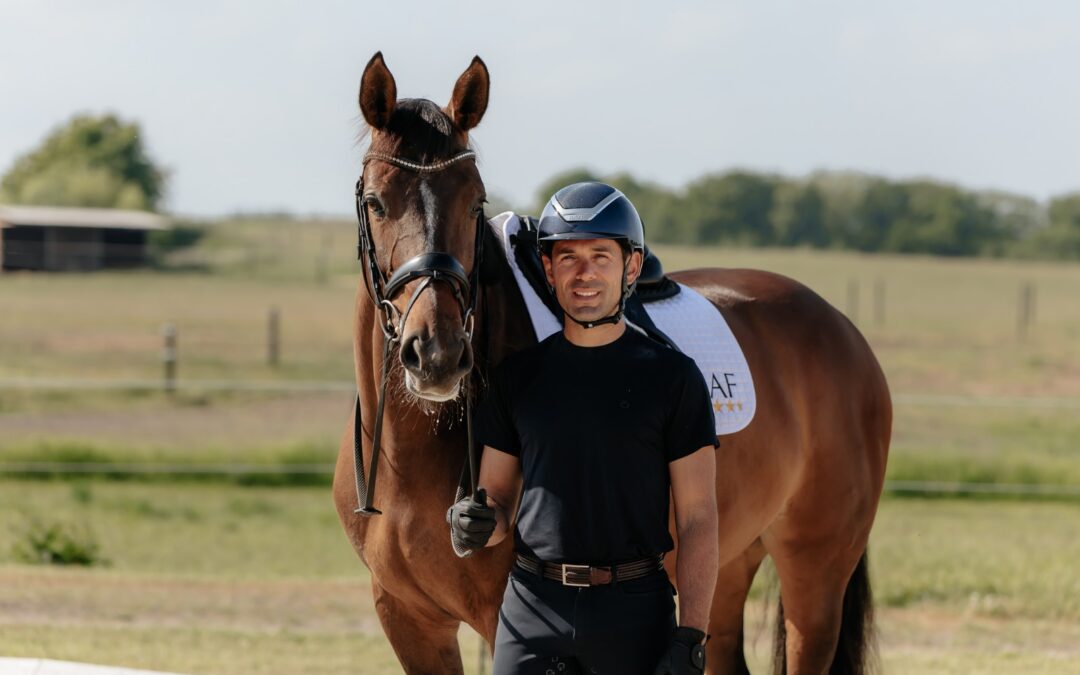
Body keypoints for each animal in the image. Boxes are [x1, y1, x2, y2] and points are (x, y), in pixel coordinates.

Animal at [332, 52, 889, 673]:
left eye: (475, 202)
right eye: (376, 202)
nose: (437, 354)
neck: (411, 450)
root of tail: (842, 329)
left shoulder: (499, 618)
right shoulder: (408, 619)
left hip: (815, 574)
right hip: (726, 560)